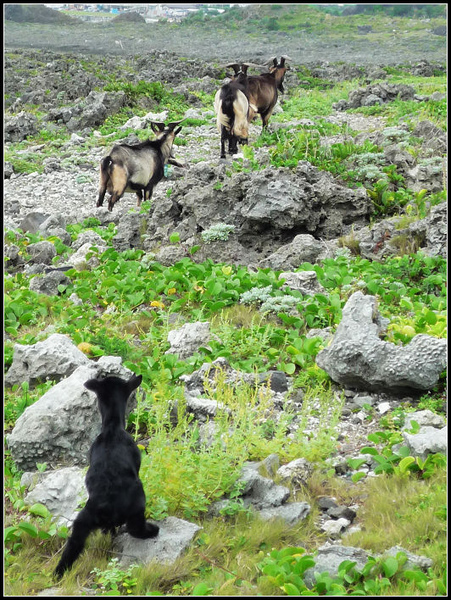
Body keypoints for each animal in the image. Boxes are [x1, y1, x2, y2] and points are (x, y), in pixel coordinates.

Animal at [54, 372, 158, 580]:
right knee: (135, 528)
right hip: (137, 500)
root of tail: (104, 505)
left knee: (72, 547)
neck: (112, 426)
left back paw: (59, 573)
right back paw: (152, 531)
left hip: (81, 523)